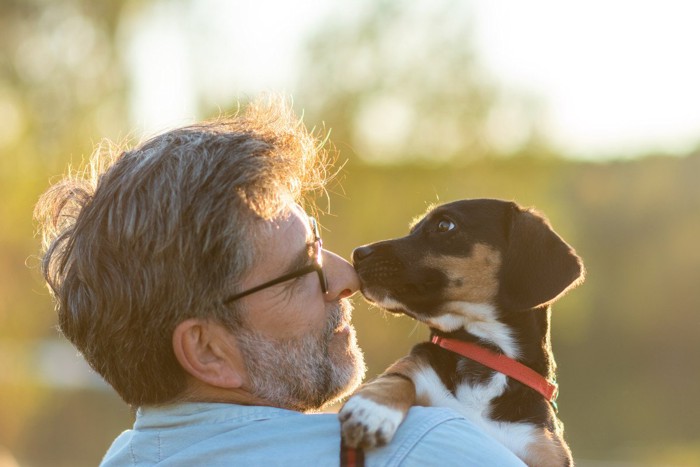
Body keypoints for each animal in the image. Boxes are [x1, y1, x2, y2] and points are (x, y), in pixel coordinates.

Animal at [340, 199, 584, 466]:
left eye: (444, 225)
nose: (358, 254)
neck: (486, 352)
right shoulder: (416, 369)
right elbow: (397, 378)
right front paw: (372, 410)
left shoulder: (544, 449)